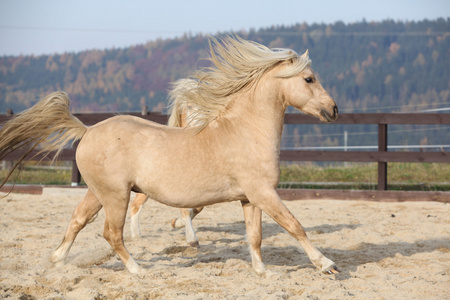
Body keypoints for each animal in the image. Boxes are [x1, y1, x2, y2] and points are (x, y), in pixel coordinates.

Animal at [0, 36, 338, 276]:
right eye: (309, 79)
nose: (333, 110)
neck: (244, 131)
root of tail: (88, 129)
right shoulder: (264, 193)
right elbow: (294, 226)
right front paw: (326, 265)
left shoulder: (250, 198)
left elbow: (255, 237)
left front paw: (262, 271)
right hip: (116, 196)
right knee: (112, 233)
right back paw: (138, 270)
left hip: (98, 193)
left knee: (78, 220)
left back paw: (56, 261)